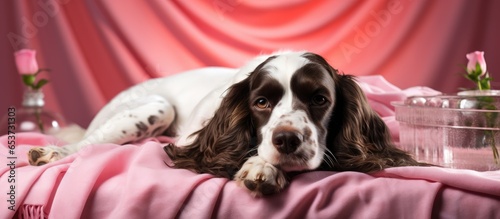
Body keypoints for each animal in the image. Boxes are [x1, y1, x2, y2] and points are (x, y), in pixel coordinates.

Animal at [28, 51, 422, 197]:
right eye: (261, 102)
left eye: (320, 100)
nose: (287, 140)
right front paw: (261, 165)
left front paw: (262, 167)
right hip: (154, 108)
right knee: (86, 143)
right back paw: (50, 152)